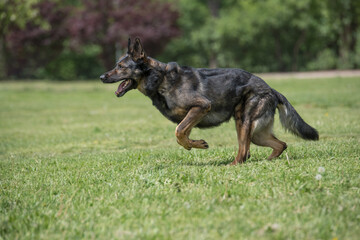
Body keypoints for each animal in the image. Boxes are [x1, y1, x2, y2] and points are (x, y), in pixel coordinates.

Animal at [99, 38, 318, 165]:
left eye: (120, 67)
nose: (101, 77)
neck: (159, 78)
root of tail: (270, 89)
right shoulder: (193, 114)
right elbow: (183, 131)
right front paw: (194, 143)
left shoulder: (202, 106)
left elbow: (178, 131)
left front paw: (193, 145)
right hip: (256, 133)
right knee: (279, 145)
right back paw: (266, 161)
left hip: (245, 123)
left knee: (244, 152)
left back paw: (234, 165)